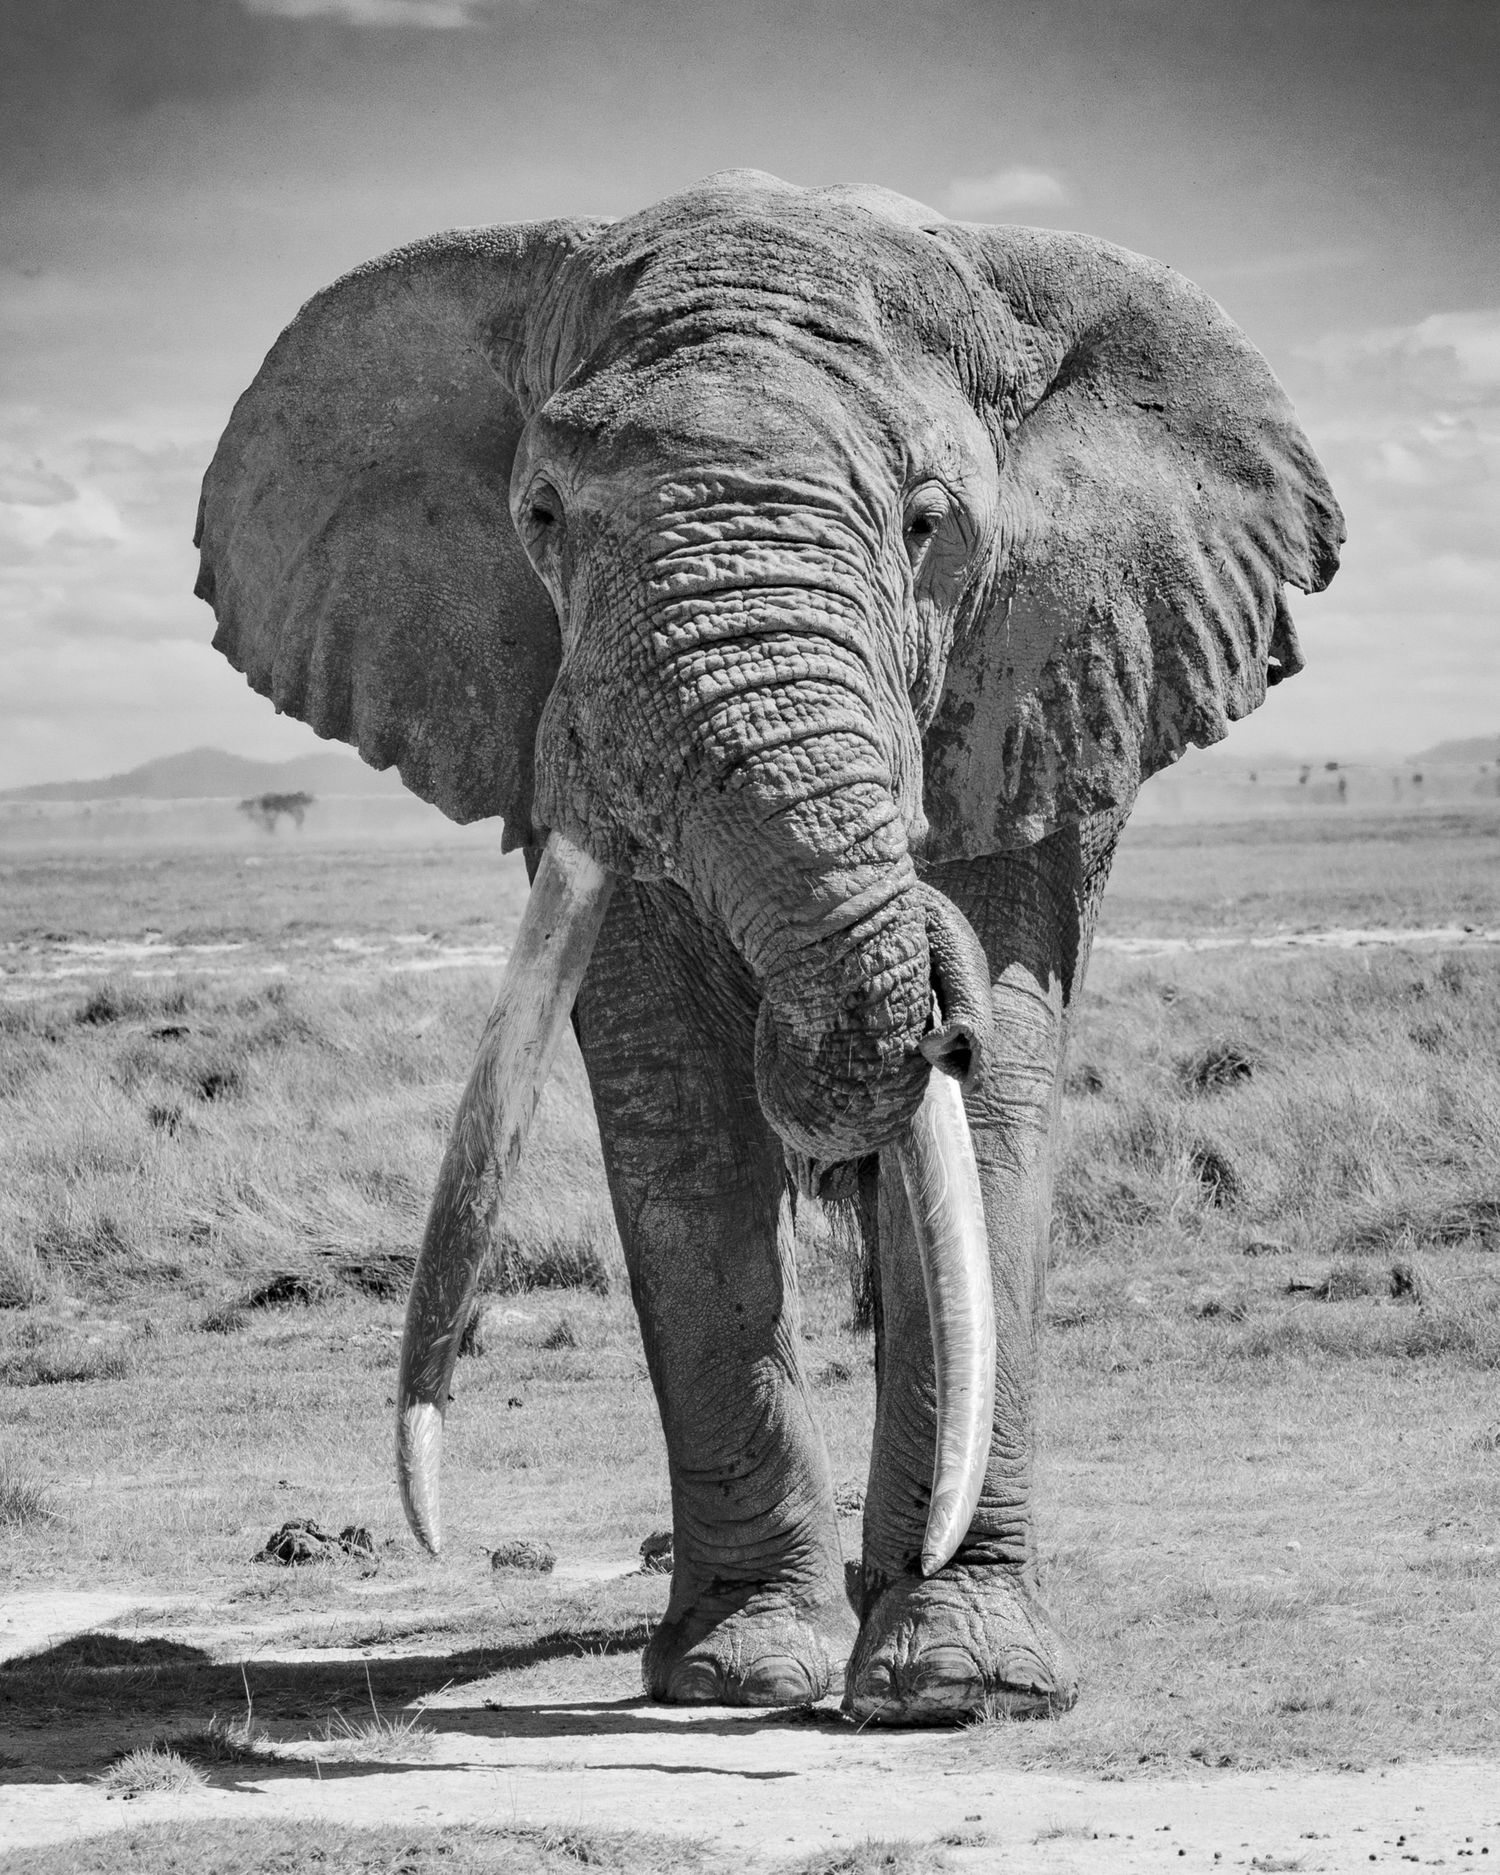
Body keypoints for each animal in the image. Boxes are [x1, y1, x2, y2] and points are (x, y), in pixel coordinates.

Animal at [194, 169, 1342, 1724]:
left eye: (928, 523)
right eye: (541, 515)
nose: (924, 977)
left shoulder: (1050, 685)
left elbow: (990, 1115)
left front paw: (961, 1686)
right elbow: (680, 1120)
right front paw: (735, 1671)